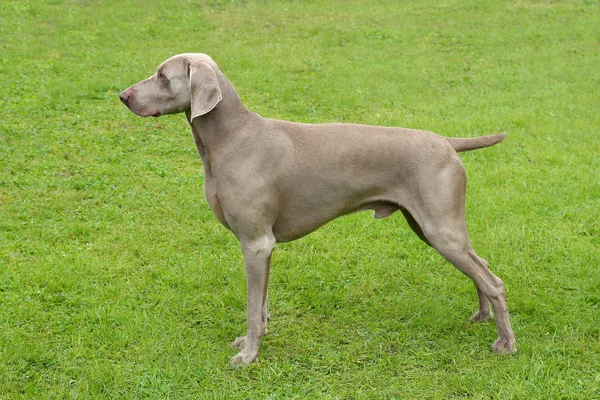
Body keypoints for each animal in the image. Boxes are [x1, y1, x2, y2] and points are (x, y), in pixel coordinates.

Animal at [119, 52, 516, 366]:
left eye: (162, 76)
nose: (123, 96)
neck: (232, 139)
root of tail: (447, 142)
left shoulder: (255, 242)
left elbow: (251, 306)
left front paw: (248, 356)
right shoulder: (264, 247)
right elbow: (262, 305)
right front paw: (253, 342)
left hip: (439, 229)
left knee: (494, 281)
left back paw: (506, 343)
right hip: (430, 227)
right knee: (481, 265)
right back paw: (482, 315)